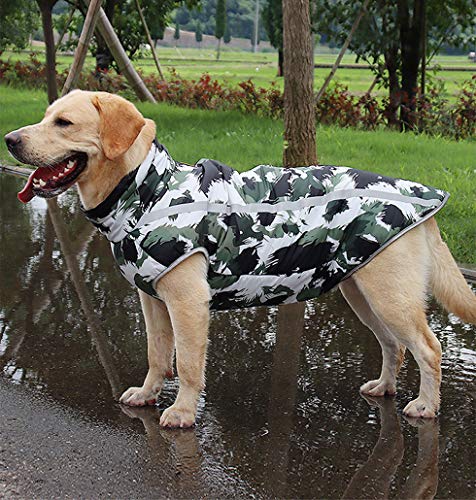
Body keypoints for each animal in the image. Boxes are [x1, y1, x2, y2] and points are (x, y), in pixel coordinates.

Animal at [4, 89, 476, 426]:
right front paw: (148, 393)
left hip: (389, 294)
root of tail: (424, 198)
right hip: (361, 289)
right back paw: (384, 388)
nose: (9, 139)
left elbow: (188, 364)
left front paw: (182, 412)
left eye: (64, 122)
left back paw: (426, 405)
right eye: (46, 116)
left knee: (428, 348)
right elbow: (157, 355)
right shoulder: (152, 300)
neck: (144, 189)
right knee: (394, 345)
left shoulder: (188, 303)